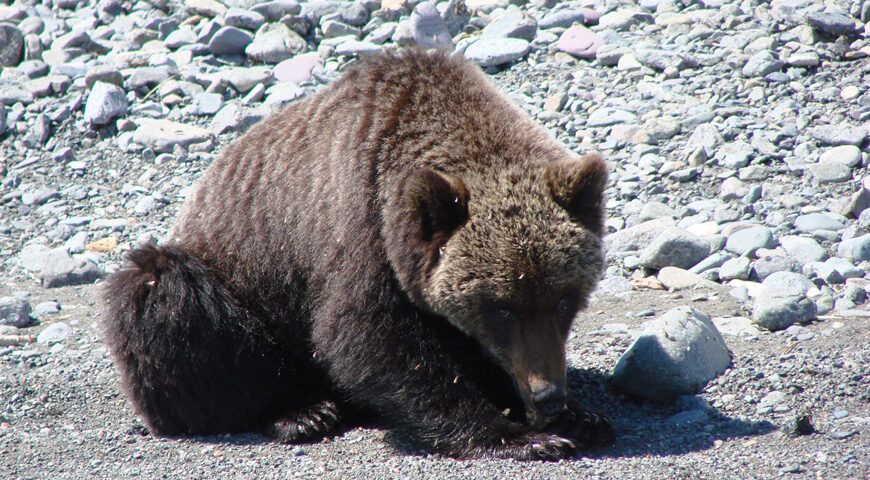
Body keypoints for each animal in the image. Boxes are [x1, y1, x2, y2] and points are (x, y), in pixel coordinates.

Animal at [103, 49, 612, 461]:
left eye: (564, 301)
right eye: (502, 308)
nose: (548, 395)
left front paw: (579, 416)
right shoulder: (359, 228)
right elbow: (366, 337)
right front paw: (521, 435)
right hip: (232, 283)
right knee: (167, 301)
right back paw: (301, 412)